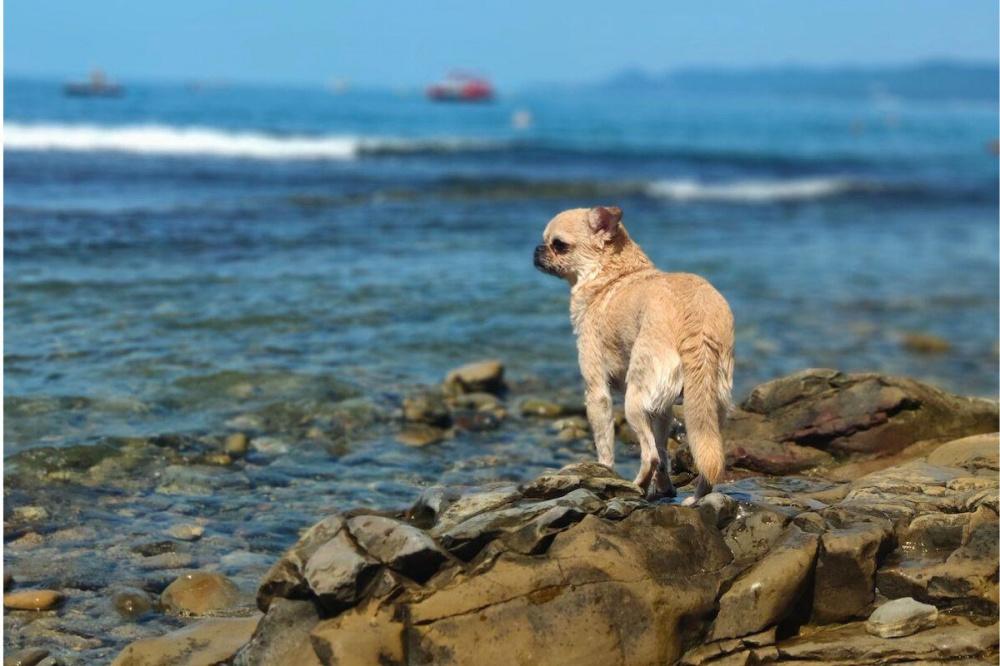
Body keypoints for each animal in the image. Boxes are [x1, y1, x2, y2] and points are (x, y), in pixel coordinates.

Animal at [532, 205, 736, 500]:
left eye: (558, 245)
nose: (537, 250)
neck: (612, 276)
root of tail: (697, 323)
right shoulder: (662, 408)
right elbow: (663, 450)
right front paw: (664, 488)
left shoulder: (596, 392)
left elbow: (605, 444)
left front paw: (604, 472)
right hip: (712, 402)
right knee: (696, 454)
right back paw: (695, 497)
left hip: (634, 400)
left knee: (649, 454)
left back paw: (636, 485)